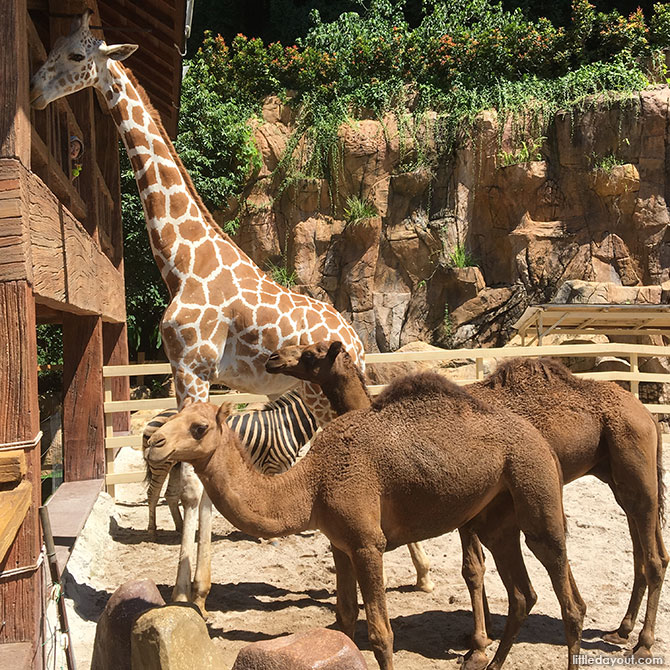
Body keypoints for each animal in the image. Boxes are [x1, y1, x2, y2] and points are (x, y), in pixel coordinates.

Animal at [141, 388, 318, 536]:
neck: (287, 425)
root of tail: (156, 416)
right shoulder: (273, 465)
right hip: (160, 464)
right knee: (153, 493)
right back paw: (152, 531)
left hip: (175, 464)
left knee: (170, 495)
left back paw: (180, 527)